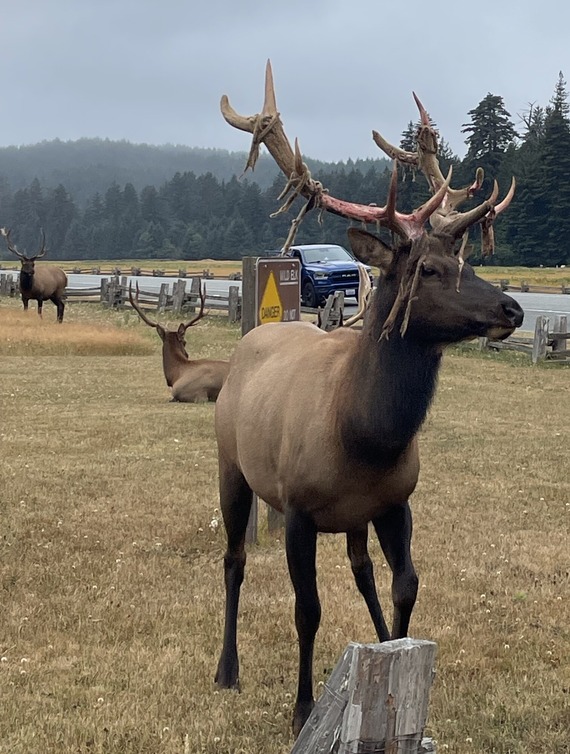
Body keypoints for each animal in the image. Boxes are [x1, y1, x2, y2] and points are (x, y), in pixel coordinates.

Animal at [212, 62, 524, 738]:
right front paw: (303, 708)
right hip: (231, 465)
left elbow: (405, 585)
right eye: (427, 269)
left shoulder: (394, 501)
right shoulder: (298, 510)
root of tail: (254, 336)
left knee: (361, 572)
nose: (512, 309)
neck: (364, 433)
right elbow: (307, 609)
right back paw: (227, 669)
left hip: (353, 517)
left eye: (465, 259)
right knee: (233, 558)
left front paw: (396, 669)